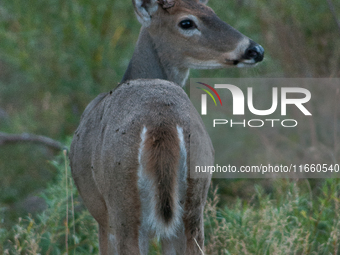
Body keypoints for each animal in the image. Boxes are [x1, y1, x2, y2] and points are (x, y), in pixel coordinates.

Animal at [69, 0, 262, 254]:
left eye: (211, 11)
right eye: (187, 22)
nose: (255, 50)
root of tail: (162, 120)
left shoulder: (103, 218)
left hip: (123, 205)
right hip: (193, 204)